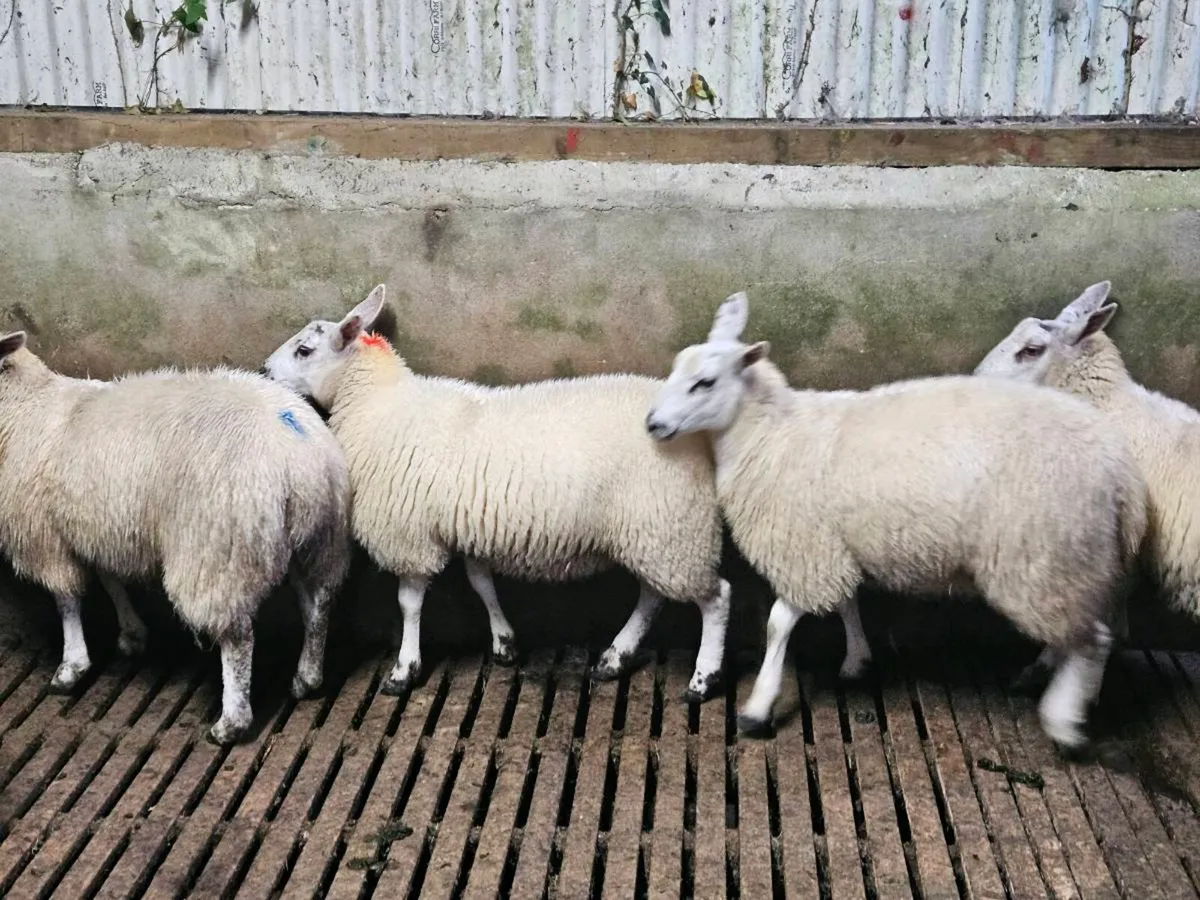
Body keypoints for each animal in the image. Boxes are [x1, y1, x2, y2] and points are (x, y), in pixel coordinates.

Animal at [0, 331, 351, 745]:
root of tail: (300, 455)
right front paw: (131, 633)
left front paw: (71, 667)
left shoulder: (44, 536)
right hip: (316, 540)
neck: (28, 405)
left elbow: (66, 601)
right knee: (318, 606)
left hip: (217, 549)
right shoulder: (98, 525)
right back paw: (306, 678)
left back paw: (230, 723)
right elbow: (110, 579)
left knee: (238, 638)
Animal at [261, 285, 734, 701]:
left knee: (715, 597)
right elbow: (481, 583)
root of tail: (701, 433)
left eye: (305, 350)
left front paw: (403, 669)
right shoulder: (469, 524)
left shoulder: (408, 534)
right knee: (653, 595)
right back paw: (616, 657)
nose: (264, 372)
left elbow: (408, 604)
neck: (377, 403)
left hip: (672, 523)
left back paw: (703, 679)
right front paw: (504, 643)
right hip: (657, 527)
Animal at [644, 291, 1148, 750]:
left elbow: (779, 623)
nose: (652, 423)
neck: (770, 433)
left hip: (1046, 554)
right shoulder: (832, 542)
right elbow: (847, 602)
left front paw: (758, 706)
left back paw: (1065, 720)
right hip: (1068, 560)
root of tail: (1122, 471)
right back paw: (1057, 682)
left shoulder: (804, 548)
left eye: (704, 382)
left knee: (1095, 638)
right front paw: (857, 661)